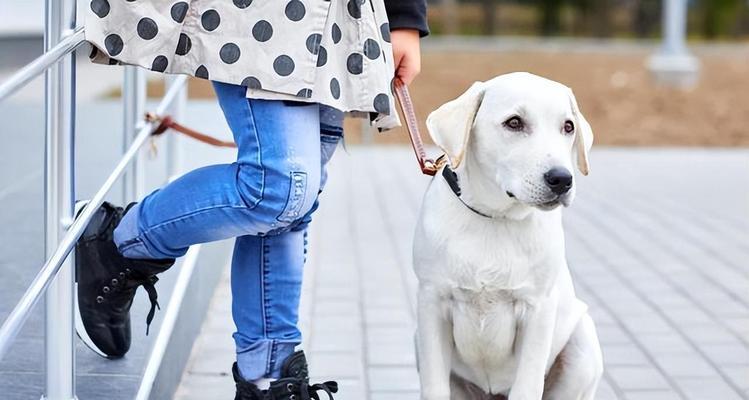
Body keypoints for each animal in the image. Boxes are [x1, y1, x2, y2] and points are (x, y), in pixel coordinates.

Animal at [414, 72, 600, 400]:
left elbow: (528, 385)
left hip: (583, 344)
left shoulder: (538, 309)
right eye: (514, 123)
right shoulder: (432, 301)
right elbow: (434, 386)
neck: (496, 218)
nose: (562, 179)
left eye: (568, 127)